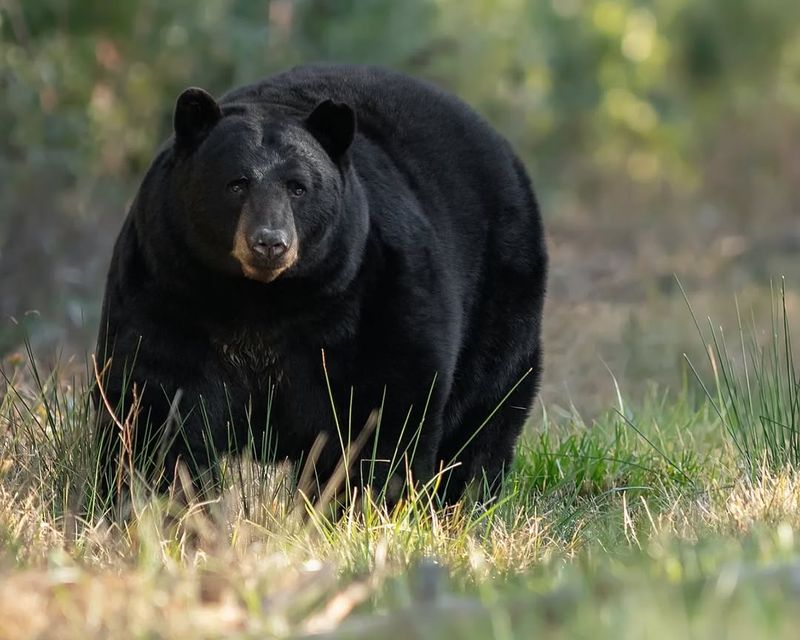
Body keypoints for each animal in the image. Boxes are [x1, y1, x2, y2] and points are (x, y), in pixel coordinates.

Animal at [90, 62, 548, 508]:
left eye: (298, 187)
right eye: (236, 183)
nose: (269, 242)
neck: (258, 302)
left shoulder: (376, 292)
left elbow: (381, 407)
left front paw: (359, 505)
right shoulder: (169, 286)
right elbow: (157, 400)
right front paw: (164, 504)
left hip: (502, 289)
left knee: (486, 411)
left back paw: (464, 500)